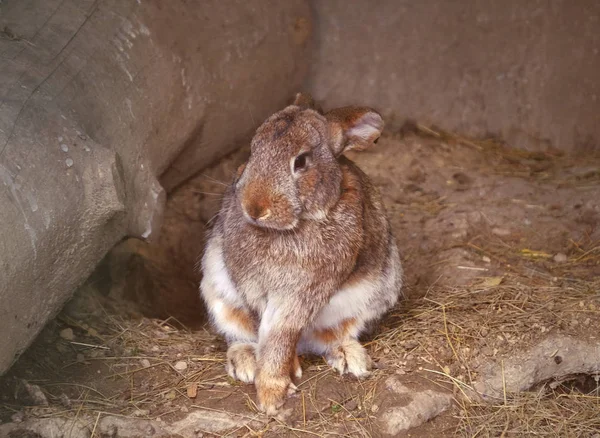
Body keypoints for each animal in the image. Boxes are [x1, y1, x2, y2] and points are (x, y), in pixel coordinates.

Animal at [200, 92, 404, 414]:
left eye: (302, 161)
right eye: (253, 150)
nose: (254, 207)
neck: (287, 229)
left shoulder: (304, 292)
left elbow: (281, 334)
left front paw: (272, 395)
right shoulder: (250, 287)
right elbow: (265, 329)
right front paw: (276, 383)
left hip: (371, 300)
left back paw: (350, 358)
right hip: (218, 294)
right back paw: (245, 361)